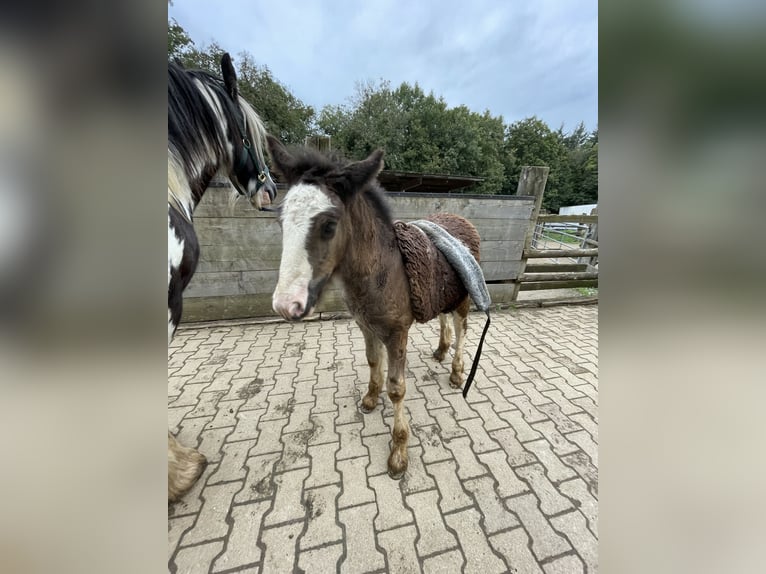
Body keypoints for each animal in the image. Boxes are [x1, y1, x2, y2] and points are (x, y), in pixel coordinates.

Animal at [268, 138, 480, 476]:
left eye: (329, 225)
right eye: (281, 221)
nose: (287, 304)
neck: (383, 269)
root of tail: (463, 221)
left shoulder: (396, 333)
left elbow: (397, 388)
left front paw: (399, 451)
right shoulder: (365, 325)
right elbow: (371, 361)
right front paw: (370, 397)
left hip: (463, 300)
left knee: (462, 329)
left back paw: (458, 372)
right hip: (442, 295)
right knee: (443, 319)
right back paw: (440, 350)